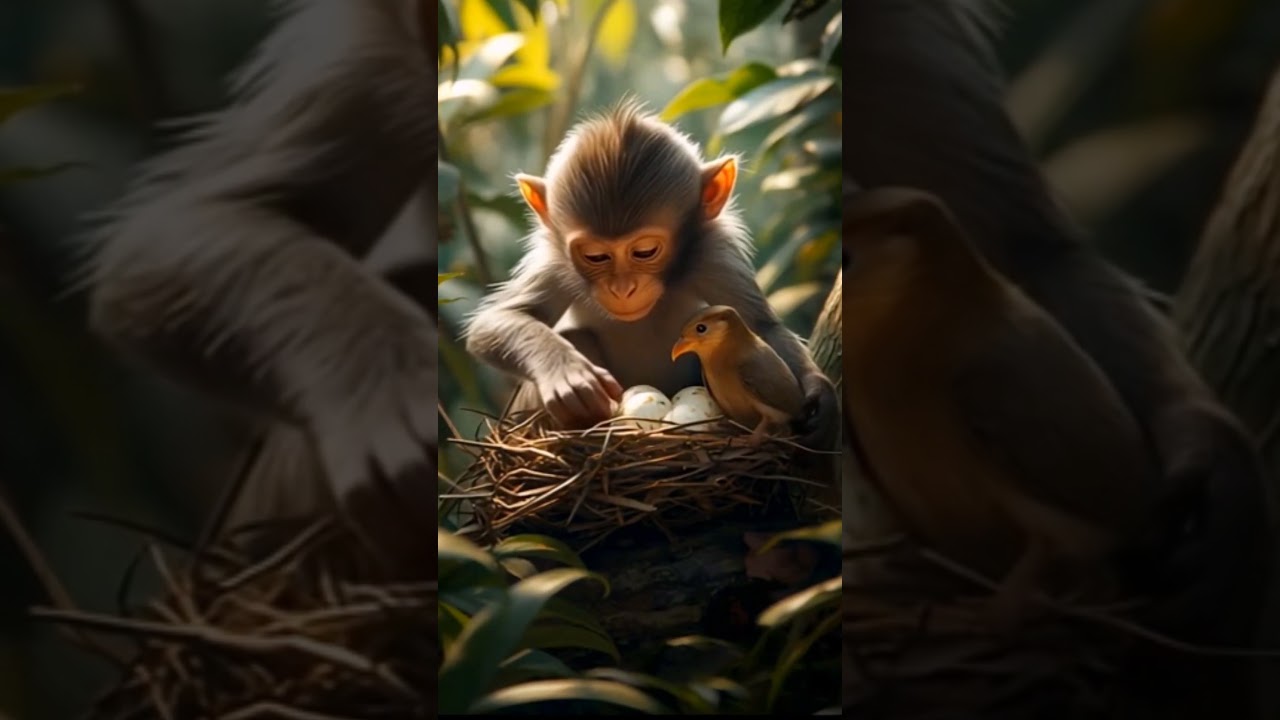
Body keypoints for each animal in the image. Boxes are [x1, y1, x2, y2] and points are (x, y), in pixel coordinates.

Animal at [462, 101, 839, 451]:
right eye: (596, 256)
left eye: (645, 251)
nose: (623, 288)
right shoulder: (555, 263)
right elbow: (494, 322)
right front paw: (566, 373)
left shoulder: (712, 254)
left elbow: (761, 326)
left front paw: (819, 394)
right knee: (577, 336)